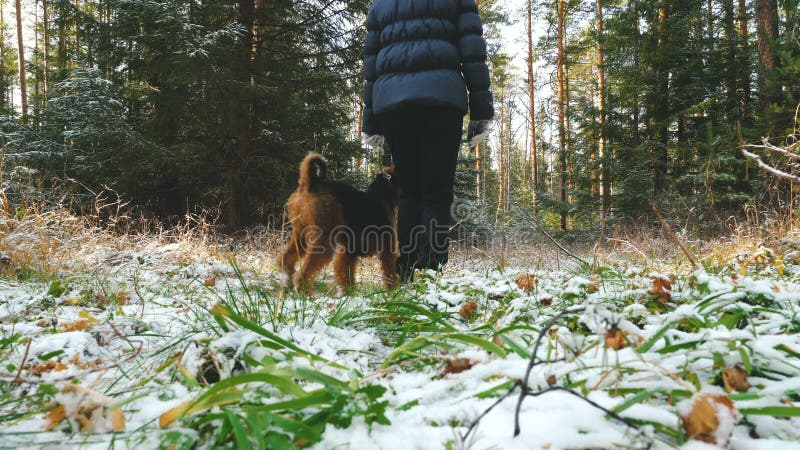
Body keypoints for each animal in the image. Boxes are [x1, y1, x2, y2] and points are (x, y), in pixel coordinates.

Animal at [278, 154, 400, 296]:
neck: (383, 193)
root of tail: (309, 183)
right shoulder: (388, 249)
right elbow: (390, 272)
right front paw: (393, 292)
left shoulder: (349, 251)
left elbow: (345, 273)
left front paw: (347, 295)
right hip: (323, 239)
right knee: (303, 272)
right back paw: (306, 293)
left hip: (301, 233)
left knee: (286, 259)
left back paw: (286, 283)